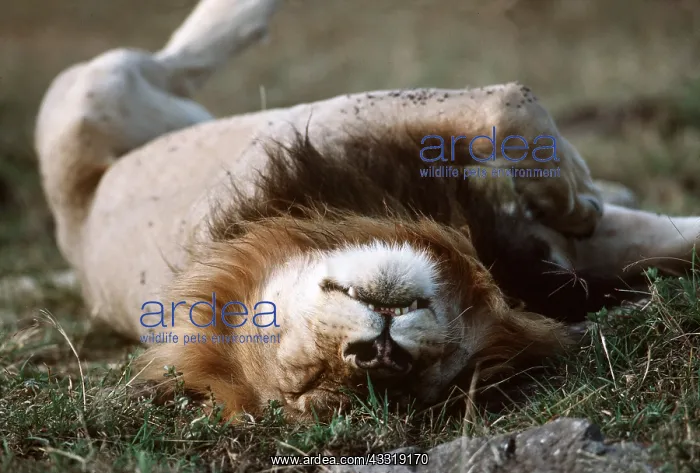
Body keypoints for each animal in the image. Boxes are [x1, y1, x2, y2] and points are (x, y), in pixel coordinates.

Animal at [34, 0, 700, 421]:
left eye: (270, 318)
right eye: (311, 380)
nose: (378, 355)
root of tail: (68, 228)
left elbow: (514, 111)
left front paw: (579, 198)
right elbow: (510, 107)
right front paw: (579, 199)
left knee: (175, 63)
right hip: (99, 92)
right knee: (171, 59)